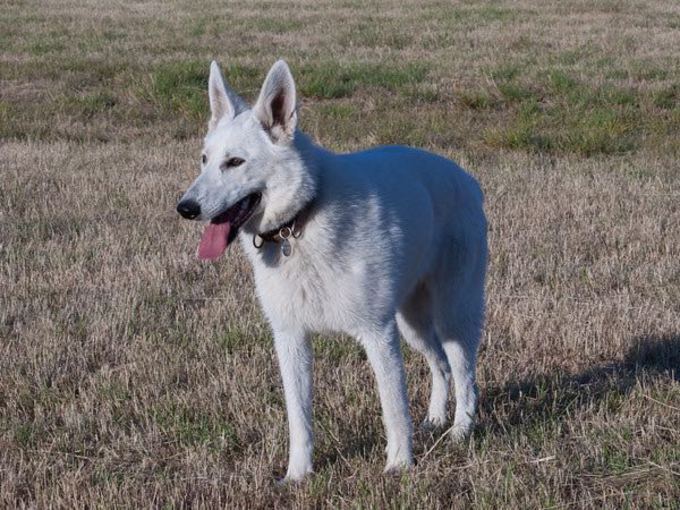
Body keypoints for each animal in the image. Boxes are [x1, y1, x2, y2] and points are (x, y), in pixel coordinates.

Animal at [178, 59, 486, 482]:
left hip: (451, 316)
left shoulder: (378, 334)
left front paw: (398, 466)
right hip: (412, 323)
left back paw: (459, 431)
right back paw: (436, 420)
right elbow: (299, 418)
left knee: (465, 373)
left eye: (235, 162)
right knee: (440, 366)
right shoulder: (291, 339)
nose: (185, 208)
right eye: (205, 160)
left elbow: (394, 410)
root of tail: (467, 179)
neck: (301, 221)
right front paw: (297, 475)